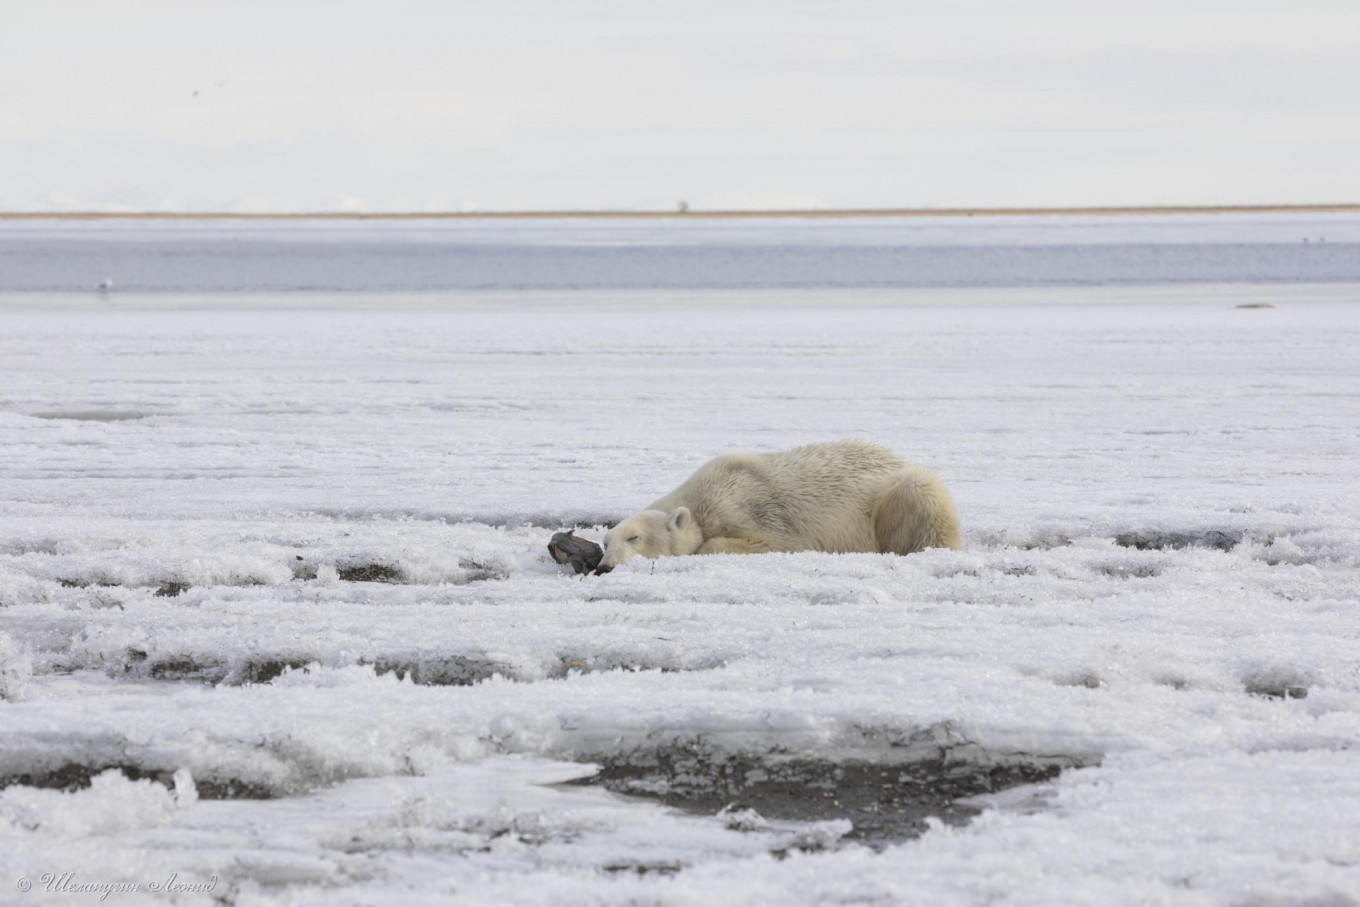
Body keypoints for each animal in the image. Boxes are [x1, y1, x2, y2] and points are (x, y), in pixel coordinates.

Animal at [598, 440, 968, 573]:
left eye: (634, 537)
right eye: (605, 541)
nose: (604, 566)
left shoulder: (753, 506)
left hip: (902, 491)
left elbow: (772, 540)